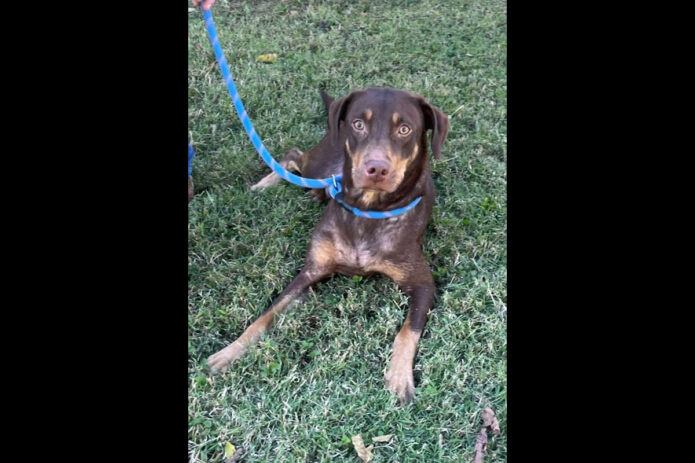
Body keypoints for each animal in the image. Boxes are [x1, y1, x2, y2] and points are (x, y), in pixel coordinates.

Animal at [207, 87, 449, 403]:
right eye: (358, 124)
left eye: (405, 129)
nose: (376, 169)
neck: (367, 210)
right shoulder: (310, 272)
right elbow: (265, 316)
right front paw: (230, 351)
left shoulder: (423, 285)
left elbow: (407, 332)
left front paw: (399, 377)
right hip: (320, 165)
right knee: (294, 156)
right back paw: (266, 184)